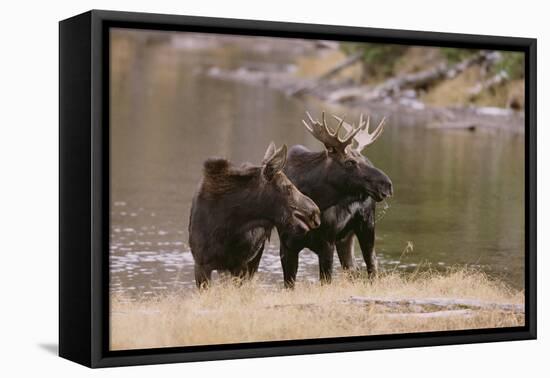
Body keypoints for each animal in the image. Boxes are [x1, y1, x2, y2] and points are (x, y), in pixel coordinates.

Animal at [278, 110, 394, 288]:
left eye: (366, 160)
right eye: (350, 162)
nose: (386, 185)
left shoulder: (327, 243)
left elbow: (325, 281)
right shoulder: (286, 244)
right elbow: (289, 285)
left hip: (366, 226)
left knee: (372, 264)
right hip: (345, 238)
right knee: (353, 268)